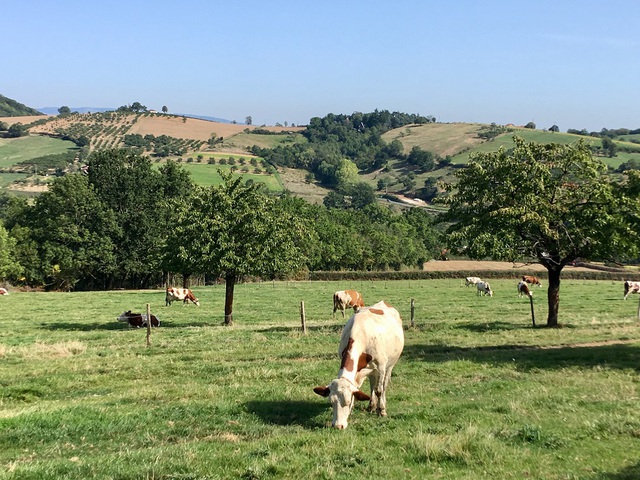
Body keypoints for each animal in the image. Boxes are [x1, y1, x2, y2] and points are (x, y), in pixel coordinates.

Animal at [312, 298, 402, 430]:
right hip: (372, 370)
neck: (360, 335)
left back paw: (381, 405)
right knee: (372, 385)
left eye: (348, 402)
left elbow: (379, 390)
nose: (338, 426)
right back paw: (371, 405)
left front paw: (381, 411)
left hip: (390, 365)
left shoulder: (381, 366)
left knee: (383, 385)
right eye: (331, 402)